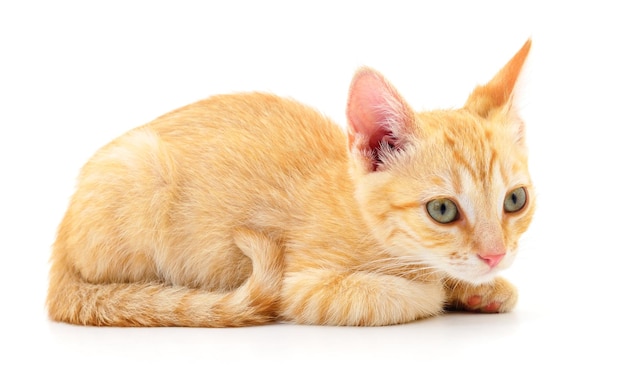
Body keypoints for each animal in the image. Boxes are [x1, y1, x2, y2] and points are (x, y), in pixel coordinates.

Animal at [47, 39, 532, 326]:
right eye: (442, 210)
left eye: (515, 201)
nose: (495, 255)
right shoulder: (302, 285)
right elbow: (411, 295)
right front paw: (442, 289)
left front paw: (479, 290)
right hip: (140, 172)